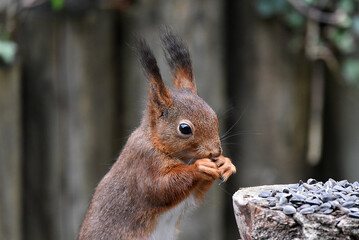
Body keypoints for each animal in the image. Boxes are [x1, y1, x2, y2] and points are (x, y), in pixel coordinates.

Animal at [78, 30, 236, 240]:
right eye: (185, 128)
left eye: (214, 116)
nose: (215, 152)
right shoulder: (144, 163)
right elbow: (161, 188)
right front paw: (199, 167)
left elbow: (193, 193)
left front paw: (226, 164)